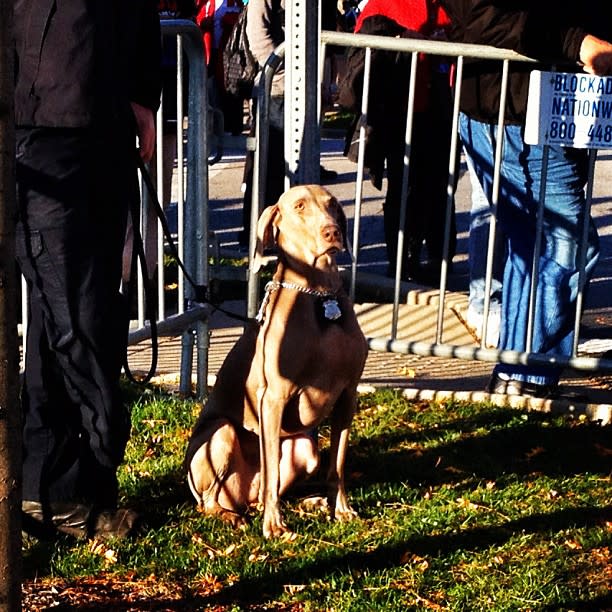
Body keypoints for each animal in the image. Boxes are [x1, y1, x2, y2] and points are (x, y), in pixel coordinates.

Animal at [184, 184, 366, 536]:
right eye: (299, 206)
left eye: (332, 205)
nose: (332, 232)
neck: (320, 297)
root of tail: (240, 496)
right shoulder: (273, 397)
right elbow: (271, 471)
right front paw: (274, 526)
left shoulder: (348, 394)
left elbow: (336, 464)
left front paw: (341, 508)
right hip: (221, 433)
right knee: (214, 500)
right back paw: (233, 516)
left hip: (305, 448)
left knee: (269, 486)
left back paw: (308, 503)